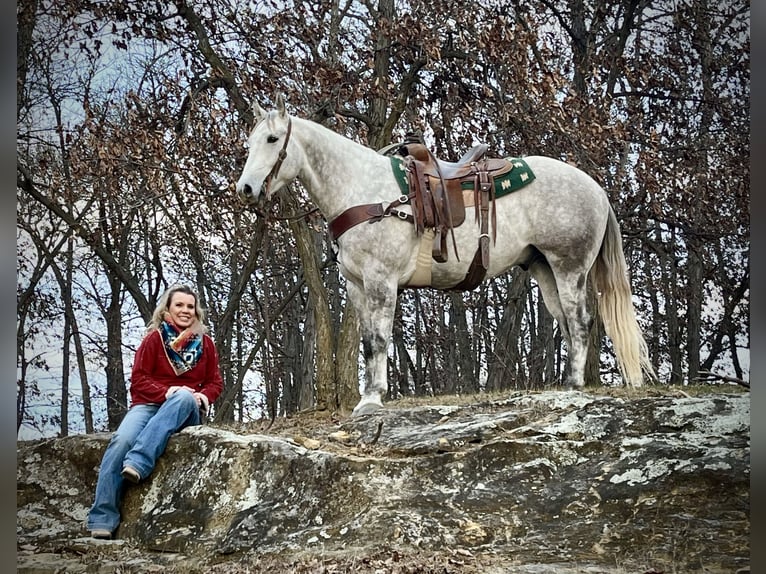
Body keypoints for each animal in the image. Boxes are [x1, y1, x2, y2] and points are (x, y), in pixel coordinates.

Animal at [237, 95, 656, 418]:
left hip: (569, 268)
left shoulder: (380, 280)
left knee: (580, 321)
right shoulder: (357, 286)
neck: (363, 190)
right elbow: (369, 340)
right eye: (250, 142)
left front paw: (371, 401)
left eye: (273, 139)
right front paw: (369, 398)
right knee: (568, 323)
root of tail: (596, 189)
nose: (246, 188)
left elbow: (379, 340)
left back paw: (571, 386)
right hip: (545, 271)